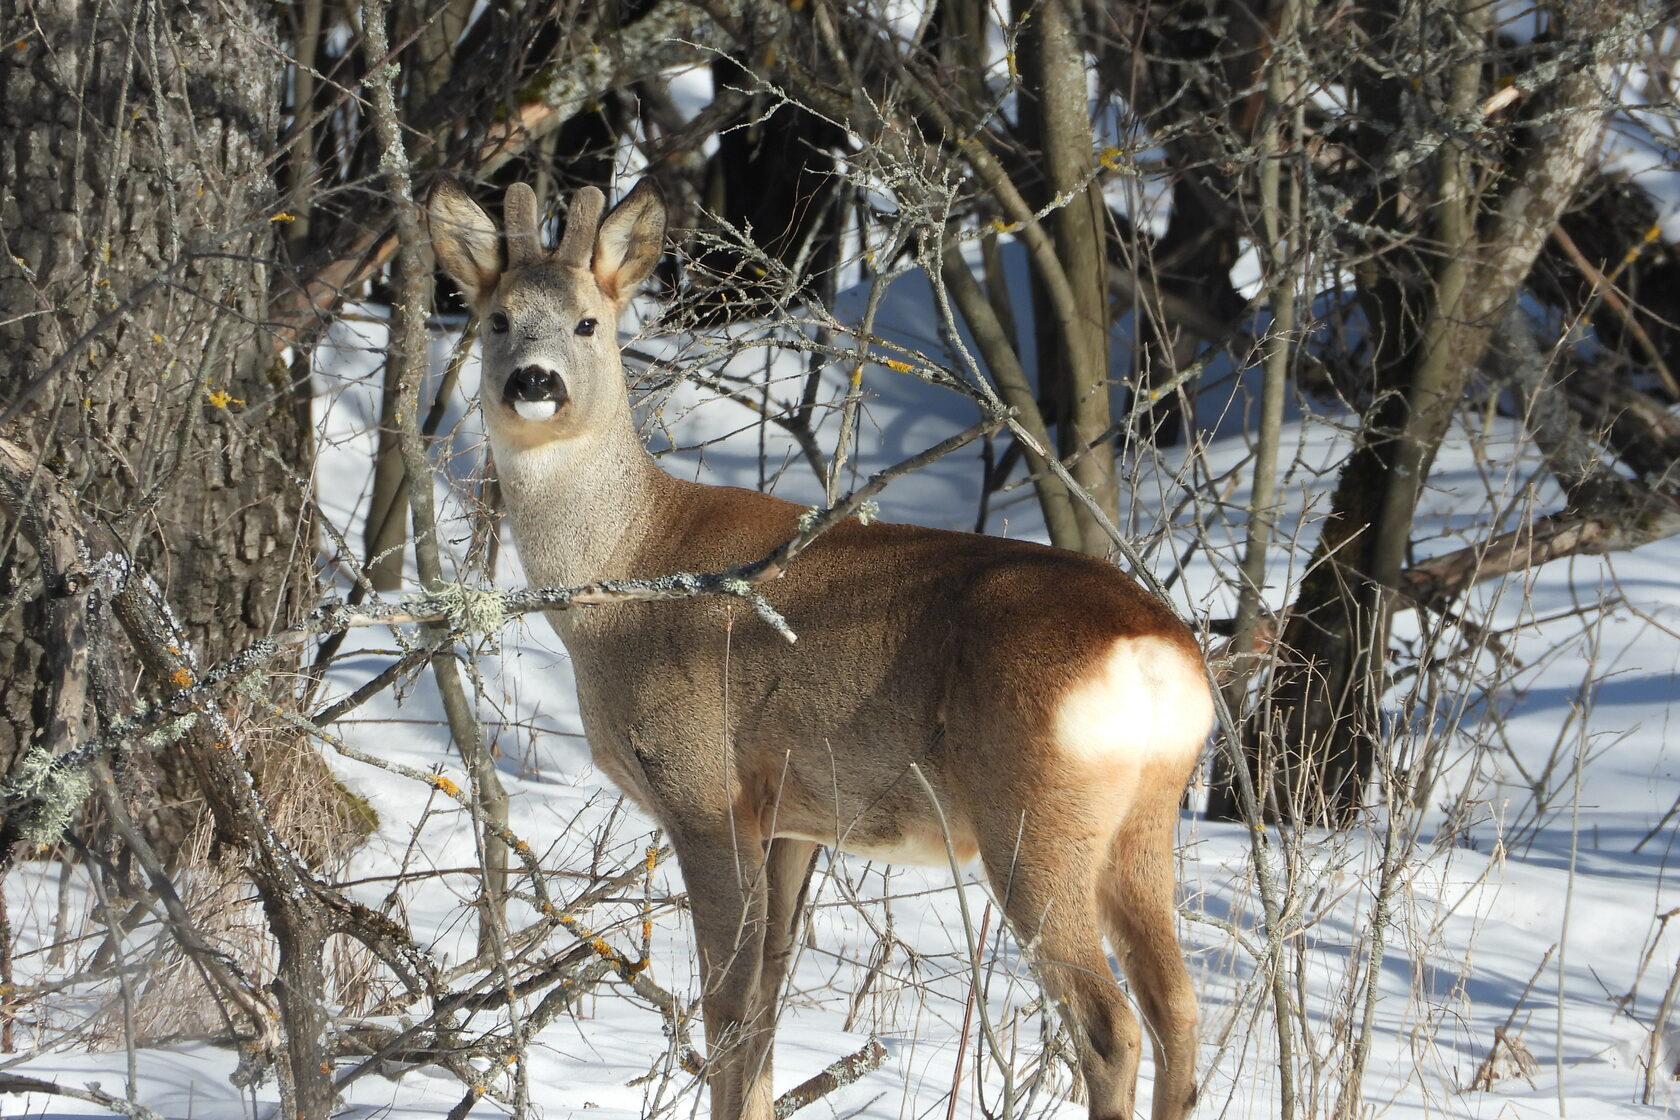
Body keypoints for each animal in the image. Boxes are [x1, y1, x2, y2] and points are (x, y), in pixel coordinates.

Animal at [426, 179, 1216, 1120]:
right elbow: (768, 1007)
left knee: (1111, 1025)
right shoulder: (794, 819)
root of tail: (1156, 653)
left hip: (1034, 815)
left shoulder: (705, 788)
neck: (630, 569)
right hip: (1142, 823)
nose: (534, 381)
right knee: (1178, 1010)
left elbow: (728, 1007)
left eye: (588, 322)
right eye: (498, 318)